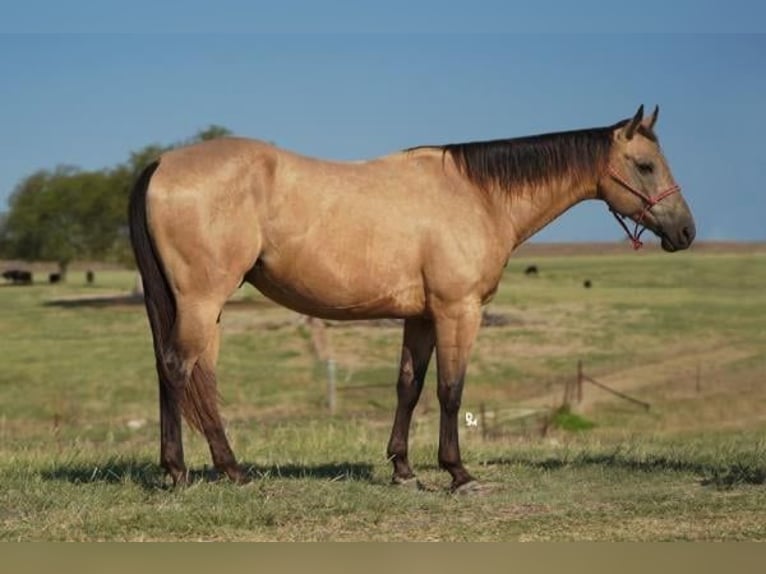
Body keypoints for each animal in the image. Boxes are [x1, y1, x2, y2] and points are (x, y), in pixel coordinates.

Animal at [128, 105, 695, 492]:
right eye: (645, 165)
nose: (686, 231)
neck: (477, 195)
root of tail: (160, 163)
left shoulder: (420, 317)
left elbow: (409, 385)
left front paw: (403, 469)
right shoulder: (458, 311)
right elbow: (450, 390)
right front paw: (458, 473)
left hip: (206, 309)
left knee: (196, 378)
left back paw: (231, 469)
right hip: (202, 300)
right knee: (177, 369)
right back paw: (178, 472)